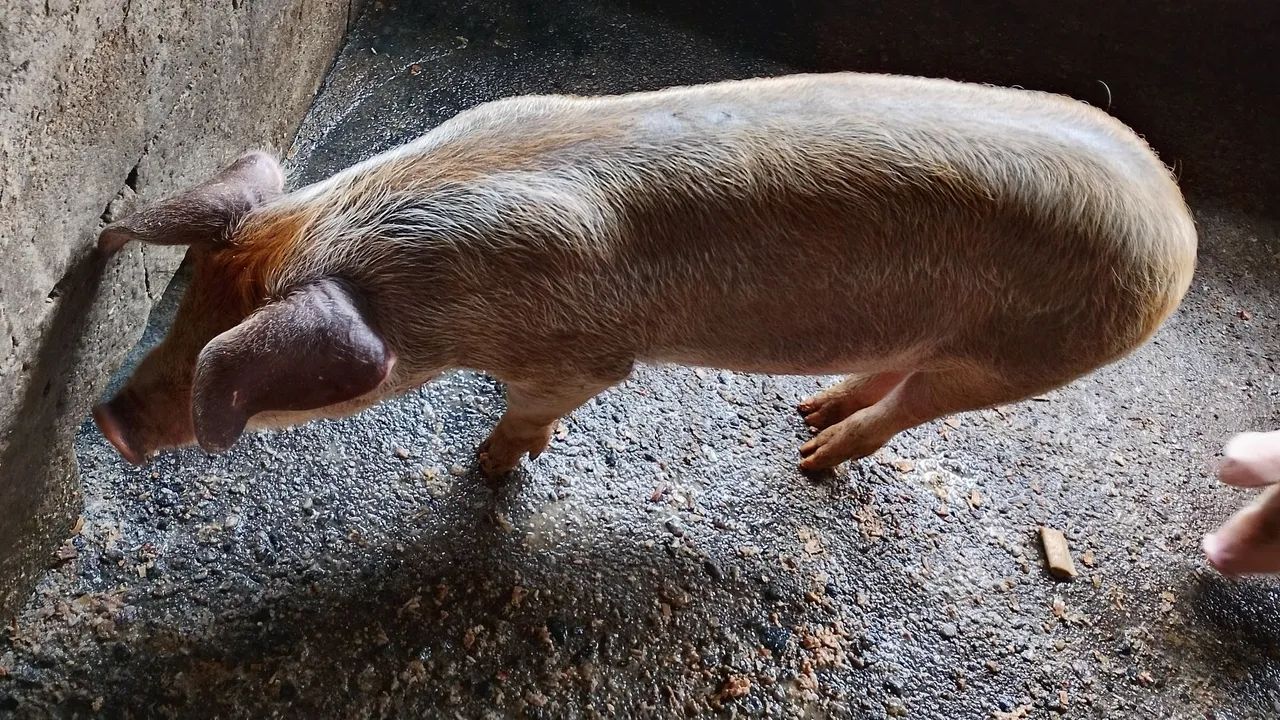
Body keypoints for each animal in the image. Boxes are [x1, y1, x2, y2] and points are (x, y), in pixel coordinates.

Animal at [91, 72, 1198, 479]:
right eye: (182, 309)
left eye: (240, 371)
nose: (105, 418)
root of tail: (1176, 229)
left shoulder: (588, 358)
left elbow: (539, 410)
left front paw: (487, 472)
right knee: (892, 375)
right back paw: (808, 414)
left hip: (1021, 359)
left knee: (910, 410)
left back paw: (811, 459)